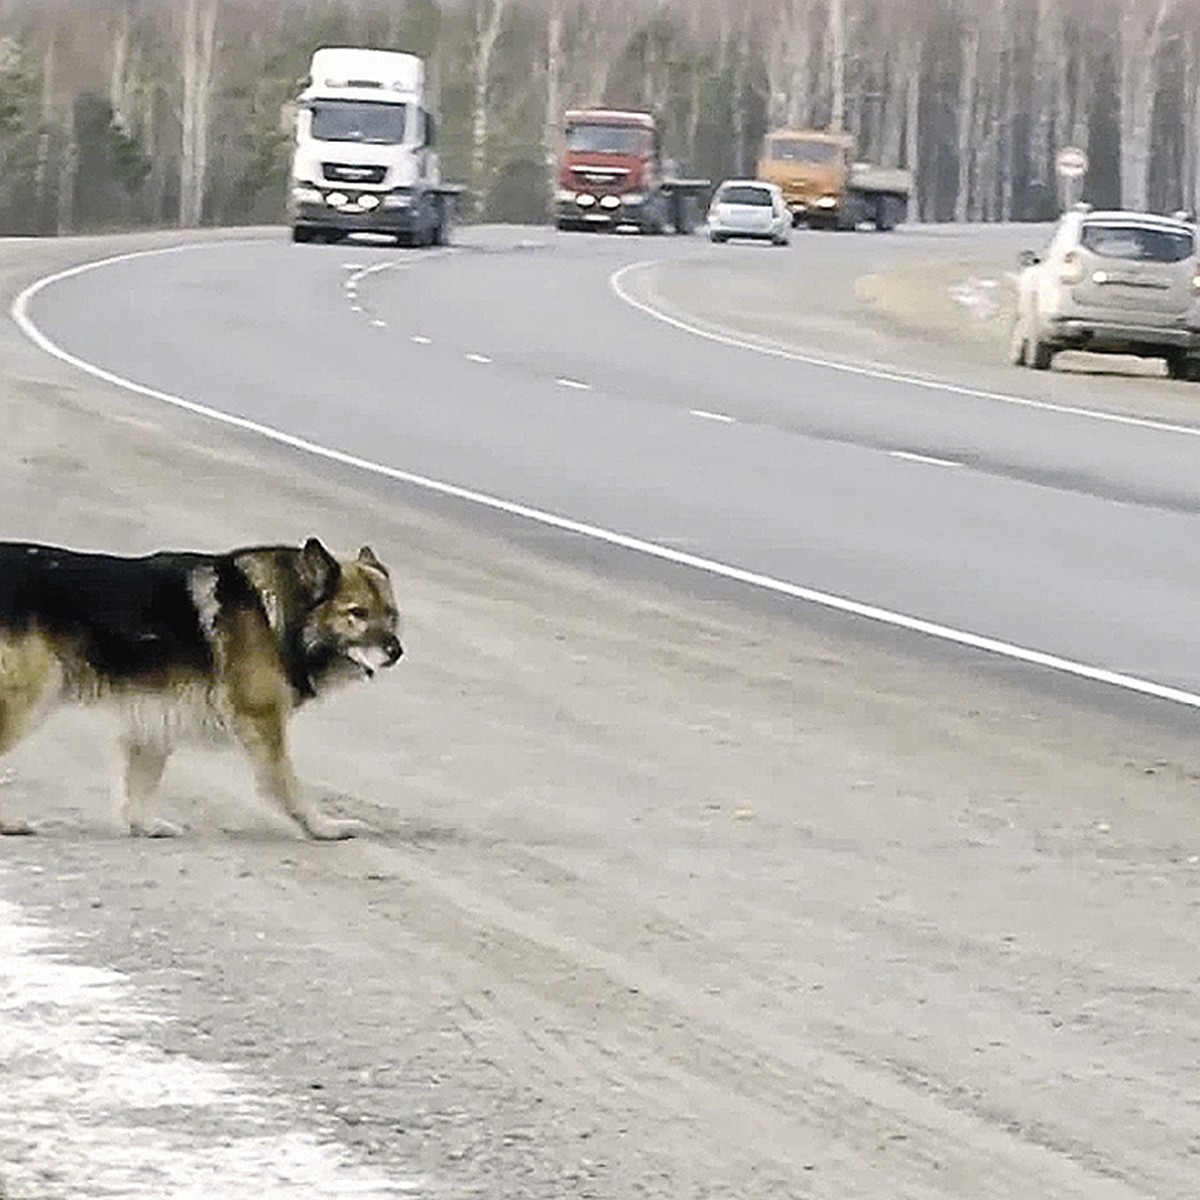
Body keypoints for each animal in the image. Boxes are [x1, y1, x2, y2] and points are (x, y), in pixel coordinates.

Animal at [0, 540, 403, 840]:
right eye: (357, 613)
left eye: (391, 614)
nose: (396, 652)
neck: (279, 612)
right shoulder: (263, 722)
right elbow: (288, 783)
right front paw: (322, 827)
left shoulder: (154, 714)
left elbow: (142, 781)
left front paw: (144, 825)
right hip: (28, 699)